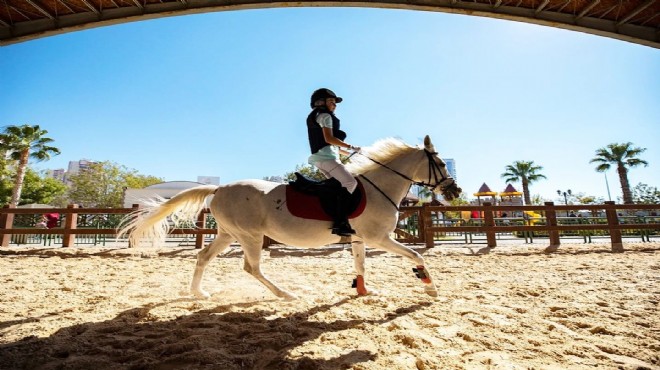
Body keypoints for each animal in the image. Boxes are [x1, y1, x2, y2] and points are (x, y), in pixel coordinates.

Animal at [121, 136, 462, 300]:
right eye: (440, 163)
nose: (455, 190)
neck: (379, 186)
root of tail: (219, 188)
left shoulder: (360, 239)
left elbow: (360, 265)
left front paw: (364, 291)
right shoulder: (379, 238)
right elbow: (417, 255)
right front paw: (430, 287)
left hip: (229, 234)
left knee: (204, 257)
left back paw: (199, 293)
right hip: (250, 237)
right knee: (252, 267)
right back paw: (285, 294)